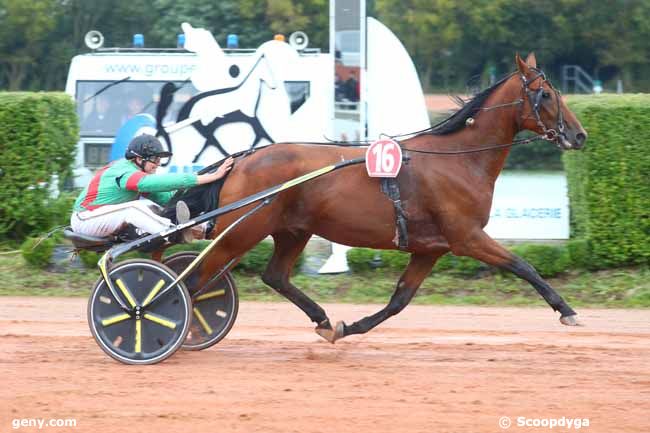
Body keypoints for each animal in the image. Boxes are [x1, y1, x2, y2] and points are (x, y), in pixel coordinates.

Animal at [178, 53, 588, 340]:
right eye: (546, 94)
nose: (579, 135)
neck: (459, 159)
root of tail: (242, 158)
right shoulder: (467, 237)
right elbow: (523, 266)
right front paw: (567, 310)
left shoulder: (430, 248)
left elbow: (399, 300)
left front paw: (347, 328)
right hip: (241, 232)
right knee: (193, 281)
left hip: (292, 230)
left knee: (274, 276)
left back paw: (322, 319)